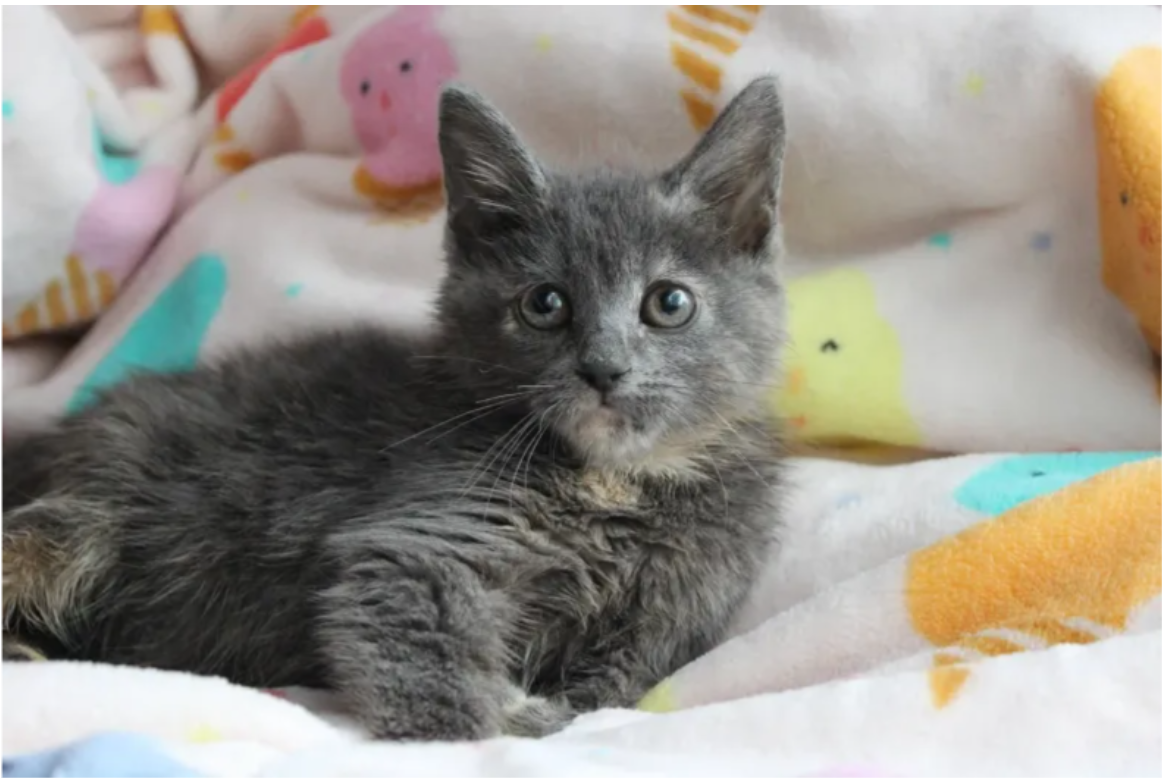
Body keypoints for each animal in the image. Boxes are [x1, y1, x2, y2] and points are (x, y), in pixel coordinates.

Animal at [4, 80, 787, 740]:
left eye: (668, 302)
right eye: (545, 303)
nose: (604, 368)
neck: (616, 483)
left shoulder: (672, 616)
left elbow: (609, 686)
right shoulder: (419, 544)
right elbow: (436, 671)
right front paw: (483, 736)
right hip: (84, 512)